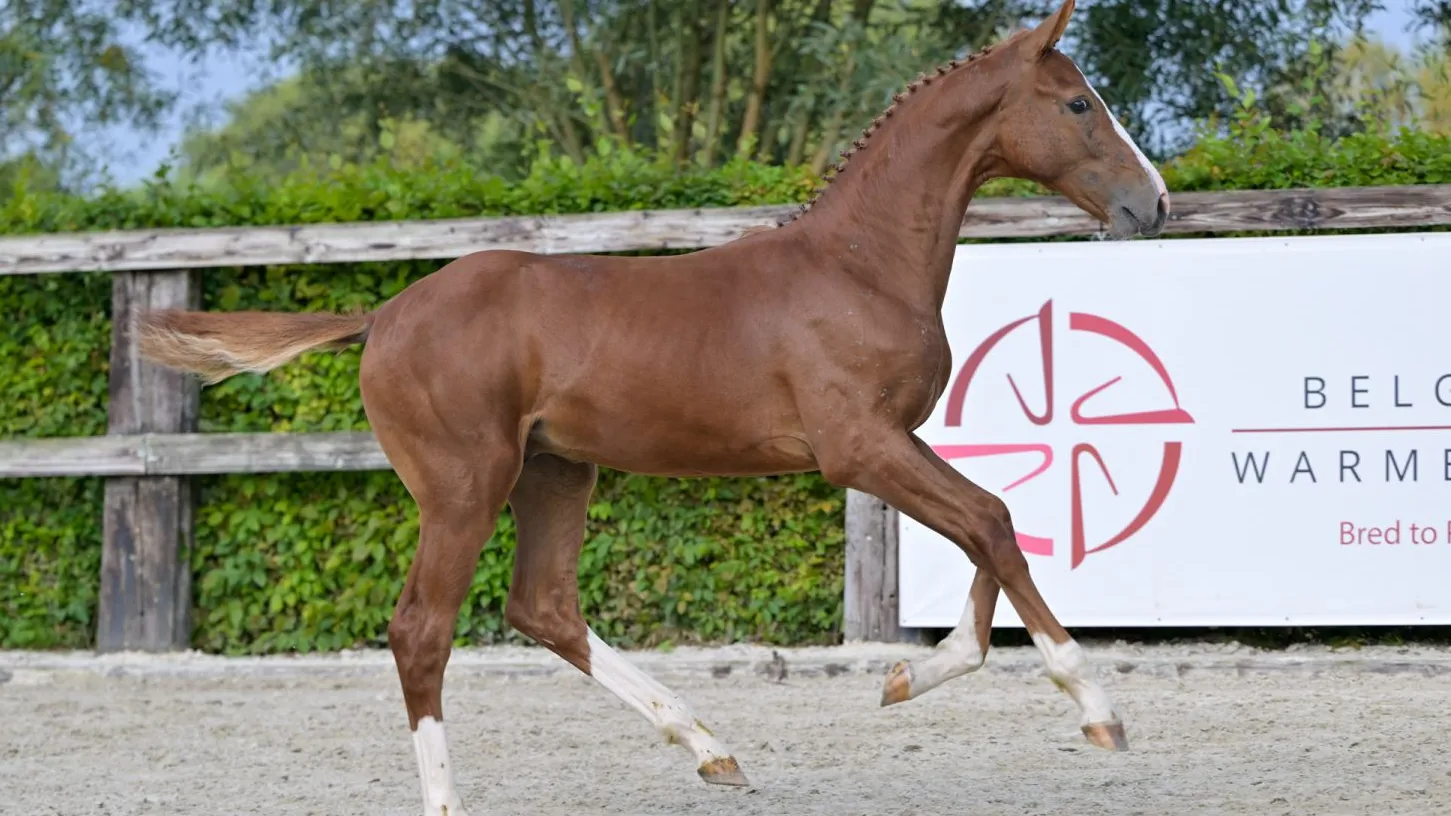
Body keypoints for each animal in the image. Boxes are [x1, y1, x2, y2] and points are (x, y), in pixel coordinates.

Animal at [136, 1, 1168, 812]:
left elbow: (988, 528)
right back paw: (456, 799)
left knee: (543, 605)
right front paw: (1097, 712)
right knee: (421, 629)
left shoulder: (894, 443)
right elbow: (990, 522)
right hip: (465, 485)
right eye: (1078, 103)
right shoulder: (859, 447)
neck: (859, 265)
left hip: (555, 471)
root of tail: (383, 314)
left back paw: (713, 750)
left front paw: (909, 676)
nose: (1151, 204)